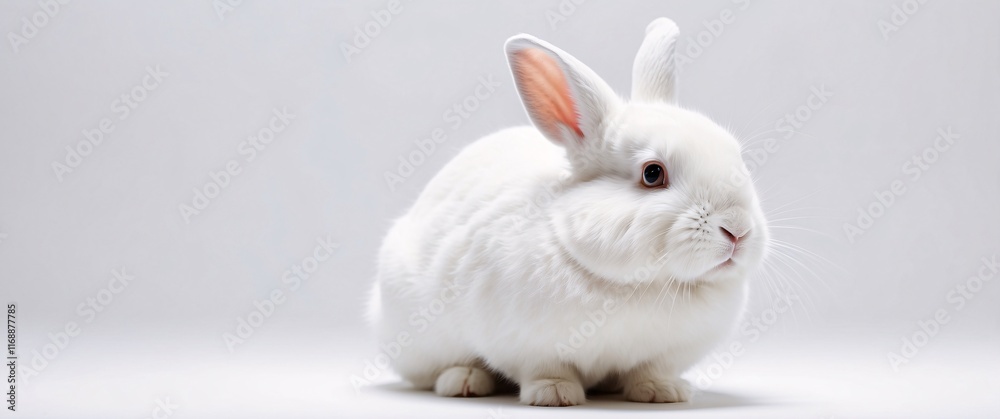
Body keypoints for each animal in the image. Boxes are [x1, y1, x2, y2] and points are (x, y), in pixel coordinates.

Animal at [369, 17, 768, 406]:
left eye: (738, 159)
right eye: (653, 174)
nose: (738, 230)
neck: (640, 284)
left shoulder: (664, 354)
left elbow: (649, 371)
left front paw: (662, 393)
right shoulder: (525, 345)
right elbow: (545, 369)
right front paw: (555, 394)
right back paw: (464, 381)